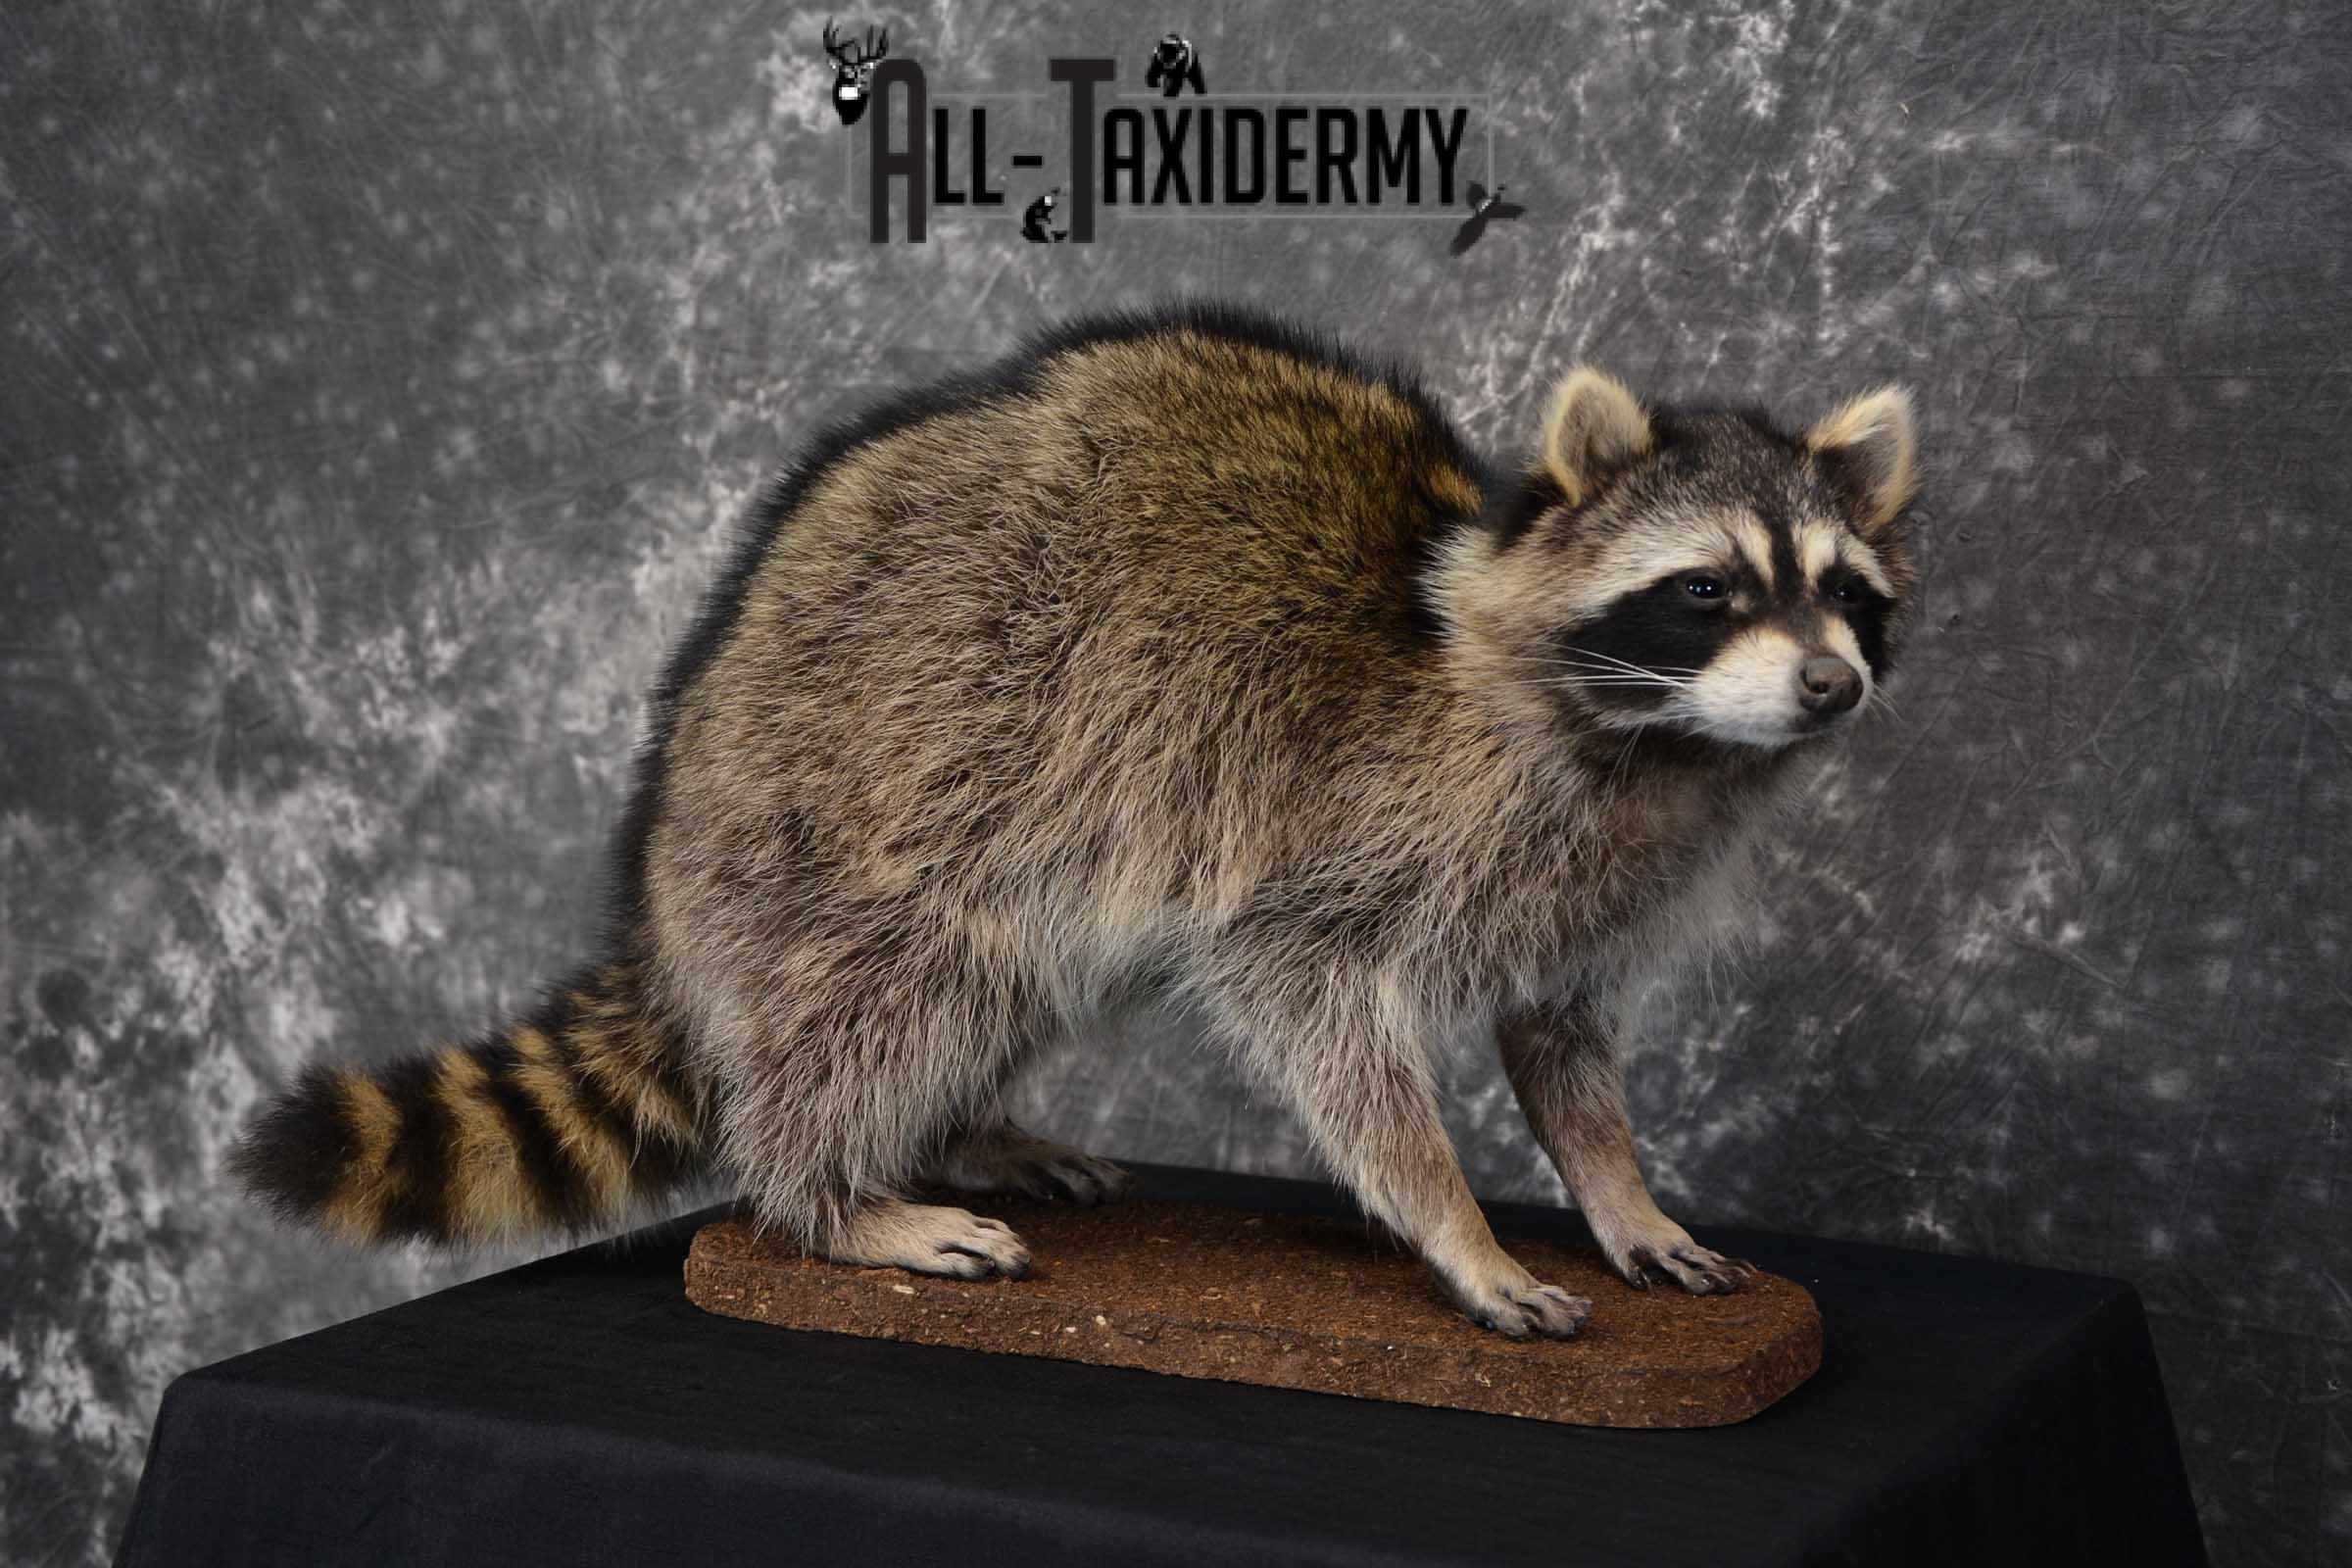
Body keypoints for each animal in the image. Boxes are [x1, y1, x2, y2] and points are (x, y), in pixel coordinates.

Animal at [233, 303, 1918, 1339]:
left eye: (1847, 594)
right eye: (1707, 591)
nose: (1831, 685)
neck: (1655, 745)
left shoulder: (1599, 874)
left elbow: (1560, 1041)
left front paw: (1619, 1192)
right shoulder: (1348, 821)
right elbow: (1311, 1003)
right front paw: (1458, 1226)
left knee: (1008, 986)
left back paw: (958, 1130)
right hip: (856, 808)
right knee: (889, 996)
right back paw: (830, 1193)